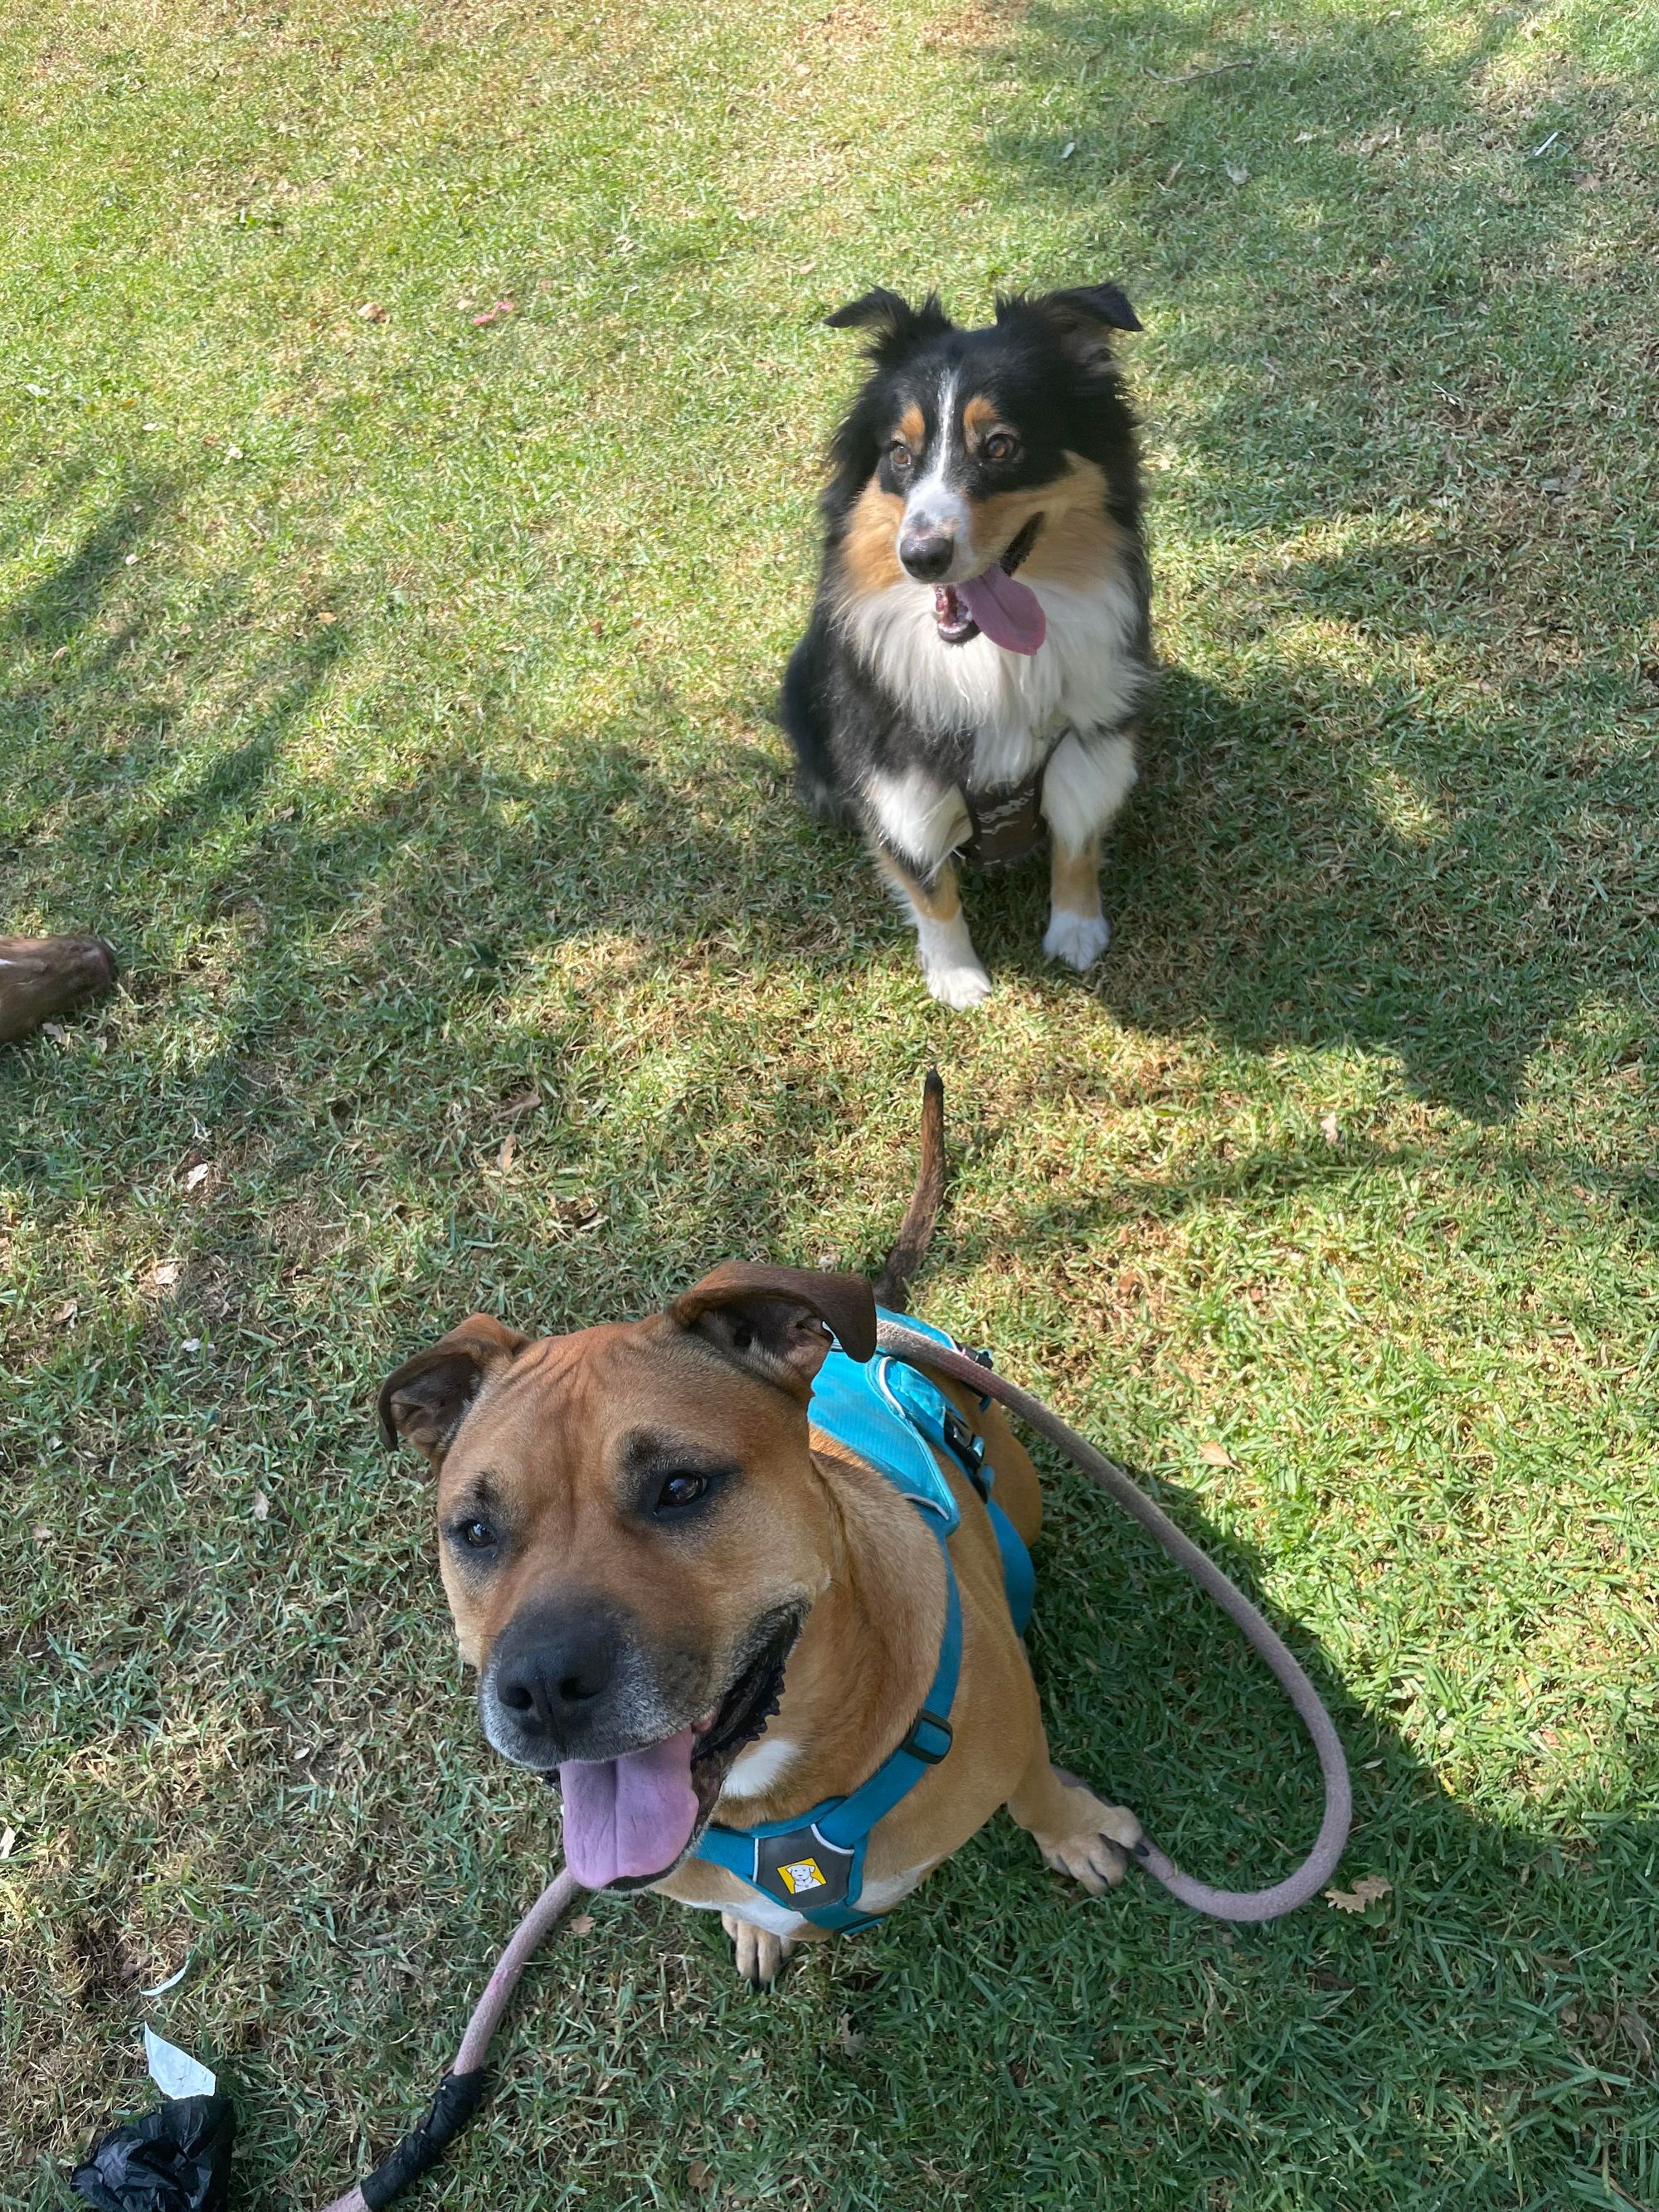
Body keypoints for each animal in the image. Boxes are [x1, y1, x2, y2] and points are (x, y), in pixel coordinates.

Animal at [378, 1079, 1140, 1984]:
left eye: (679, 1487)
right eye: (475, 1530)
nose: (542, 1687)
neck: (775, 1802)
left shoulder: (1016, 1731)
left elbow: (1034, 1788)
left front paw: (1076, 1831)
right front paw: (756, 1926)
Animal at [781, 283, 1152, 1009]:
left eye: (1001, 446)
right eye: (899, 453)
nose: (921, 556)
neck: (986, 663)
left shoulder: (1090, 747)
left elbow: (1077, 843)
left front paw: (1076, 931)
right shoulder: (901, 784)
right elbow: (929, 886)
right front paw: (956, 977)